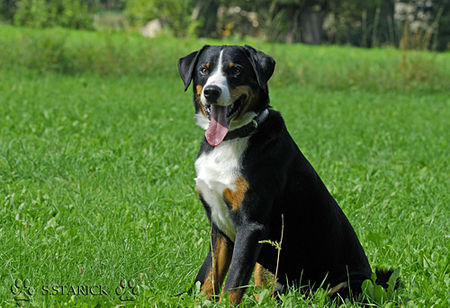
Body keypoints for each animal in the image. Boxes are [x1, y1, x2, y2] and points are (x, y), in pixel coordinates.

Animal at [178, 44, 392, 304]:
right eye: (204, 69)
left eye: (236, 70)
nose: (211, 91)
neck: (230, 141)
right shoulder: (218, 224)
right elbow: (210, 276)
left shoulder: (251, 226)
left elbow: (233, 282)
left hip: (342, 284)